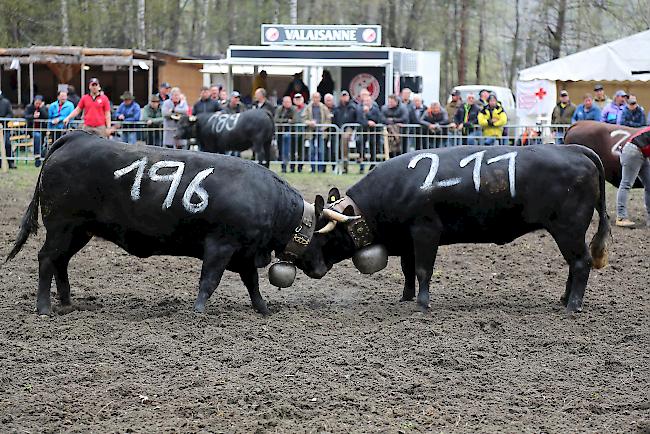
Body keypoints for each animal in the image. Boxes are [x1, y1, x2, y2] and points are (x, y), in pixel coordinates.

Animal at [6, 131, 354, 318]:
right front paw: (199, 311)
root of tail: (75, 138)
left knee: (60, 261)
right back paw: (44, 308)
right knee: (46, 259)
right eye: (328, 239)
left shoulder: (244, 254)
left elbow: (252, 284)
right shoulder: (220, 246)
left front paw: (264, 310)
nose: (323, 269)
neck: (270, 201)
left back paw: (67, 302)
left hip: (79, 231)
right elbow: (209, 281)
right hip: (62, 226)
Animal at [296, 145, 612, 312]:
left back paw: (572, 305)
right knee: (575, 264)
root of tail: (571, 148)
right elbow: (408, 270)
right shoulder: (408, 241)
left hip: (568, 228)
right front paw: (406, 297)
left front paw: (422, 304)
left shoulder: (425, 231)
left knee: (581, 262)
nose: (306, 266)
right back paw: (564, 299)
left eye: (323, 236)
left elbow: (423, 269)